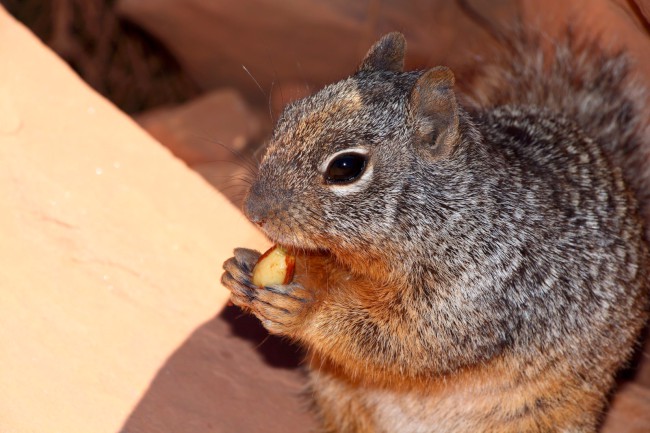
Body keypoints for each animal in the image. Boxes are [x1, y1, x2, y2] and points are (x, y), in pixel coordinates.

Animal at [221, 28, 648, 430]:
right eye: (289, 113)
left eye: (346, 167)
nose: (253, 210)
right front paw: (244, 269)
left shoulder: (479, 294)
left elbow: (405, 342)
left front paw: (307, 309)